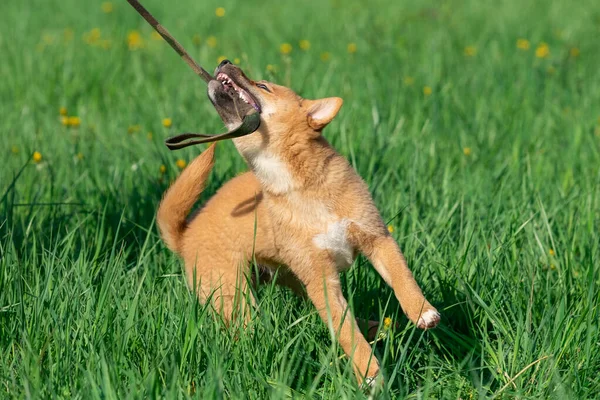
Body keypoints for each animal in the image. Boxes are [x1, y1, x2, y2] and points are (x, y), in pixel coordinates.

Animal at [158, 60, 440, 384]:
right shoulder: (321, 280)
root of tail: (185, 235)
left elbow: (401, 276)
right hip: (238, 298)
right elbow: (345, 332)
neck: (296, 185)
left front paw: (422, 311)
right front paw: (369, 372)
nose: (224, 61)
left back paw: (374, 326)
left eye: (263, 85)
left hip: (290, 279)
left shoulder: (376, 237)